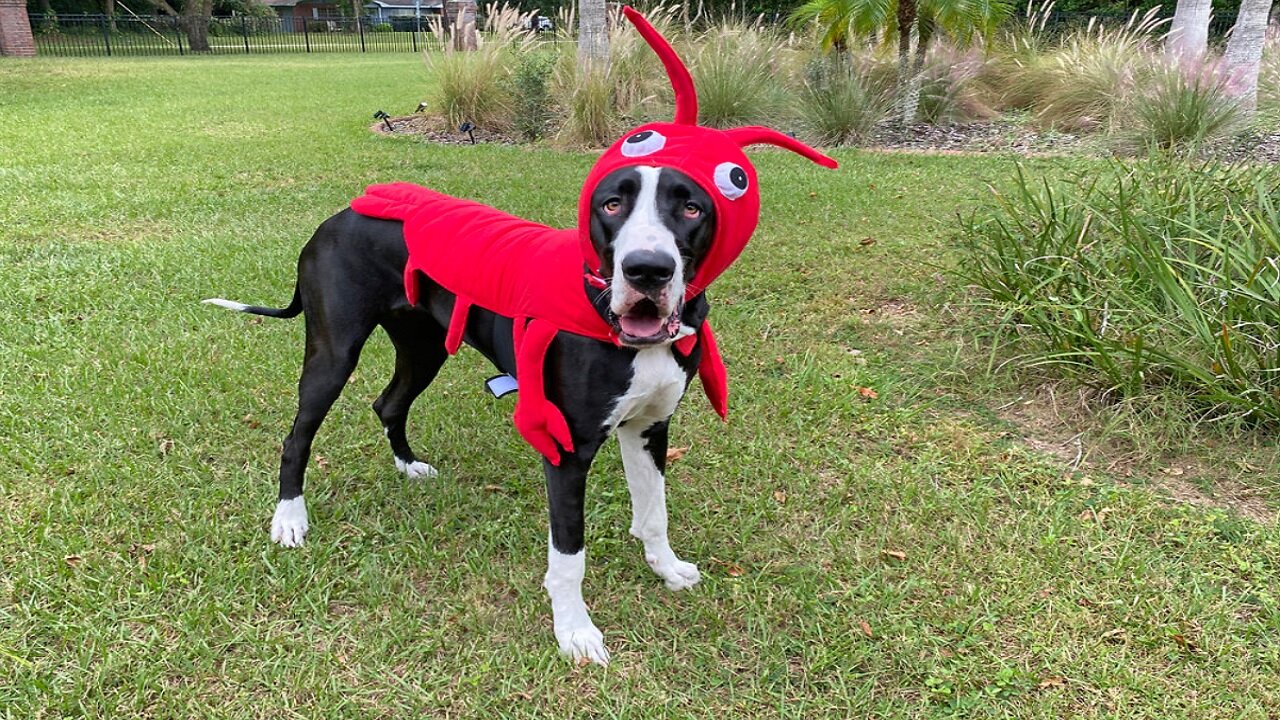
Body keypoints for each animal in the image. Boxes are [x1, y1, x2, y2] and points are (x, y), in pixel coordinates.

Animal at [204, 165, 716, 666]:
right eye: (611, 204)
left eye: (691, 208)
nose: (647, 269)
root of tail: (337, 217)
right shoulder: (567, 450)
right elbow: (570, 555)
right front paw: (575, 632)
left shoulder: (650, 428)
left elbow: (654, 512)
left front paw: (667, 569)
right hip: (333, 355)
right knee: (297, 438)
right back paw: (290, 517)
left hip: (424, 347)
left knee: (388, 403)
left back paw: (408, 465)